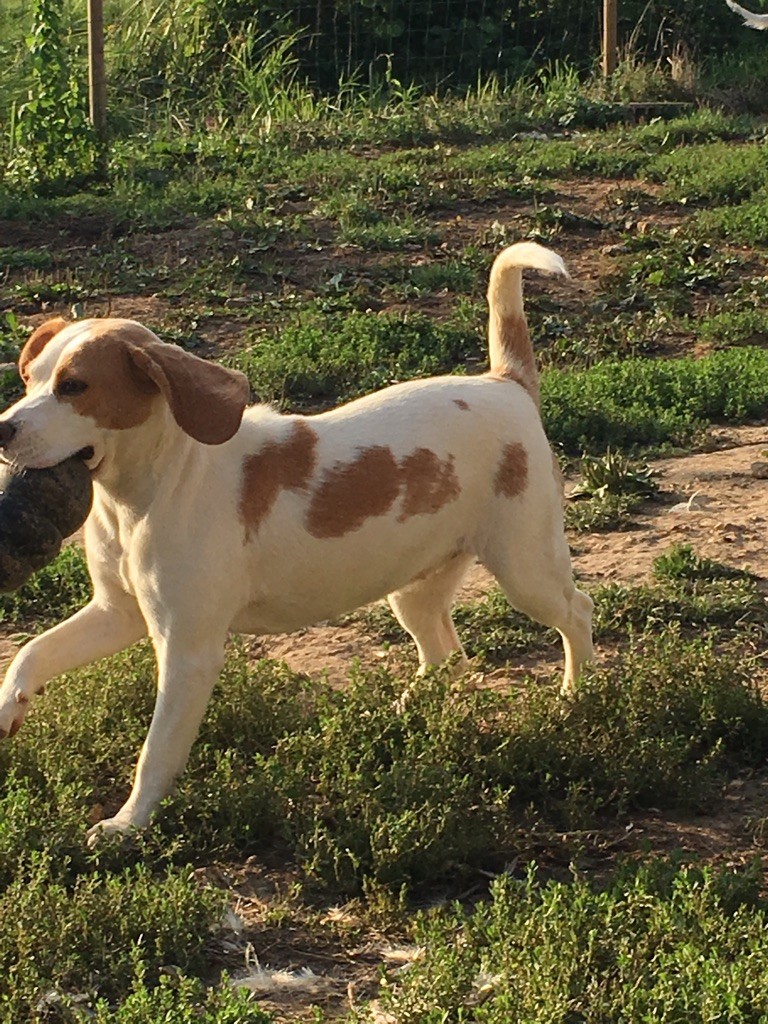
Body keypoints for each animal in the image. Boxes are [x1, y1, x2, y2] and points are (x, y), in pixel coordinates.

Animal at [0, 239, 593, 839]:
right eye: (28, 379)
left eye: (74, 387)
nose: (2, 428)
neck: (144, 494)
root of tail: (505, 383)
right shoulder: (116, 612)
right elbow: (29, 652)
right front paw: (8, 709)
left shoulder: (187, 650)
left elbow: (156, 752)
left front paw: (128, 825)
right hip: (415, 589)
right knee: (448, 657)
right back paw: (398, 718)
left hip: (526, 569)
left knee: (577, 611)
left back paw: (576, 696)